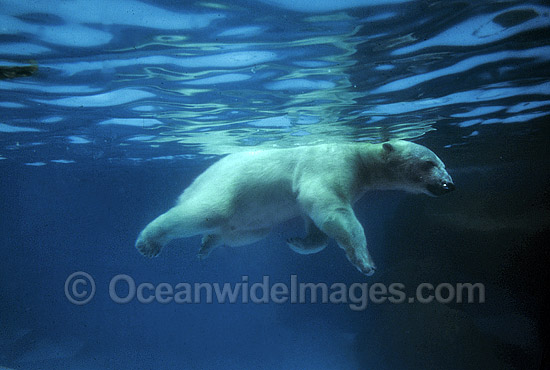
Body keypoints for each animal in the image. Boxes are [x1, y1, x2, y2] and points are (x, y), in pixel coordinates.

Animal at [136, 139, 454, 274]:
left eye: (444, 163)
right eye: (429, 163)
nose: (448, 185)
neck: (359, 158)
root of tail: (193, 183)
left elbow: (316, 220)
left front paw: (298, 242)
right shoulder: (330, 166)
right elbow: (333, 211)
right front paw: (365, 262)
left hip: (250, 218)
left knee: (242, 231)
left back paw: (207, 245)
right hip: (226, 186)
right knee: (206, 211)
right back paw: (149, 242)